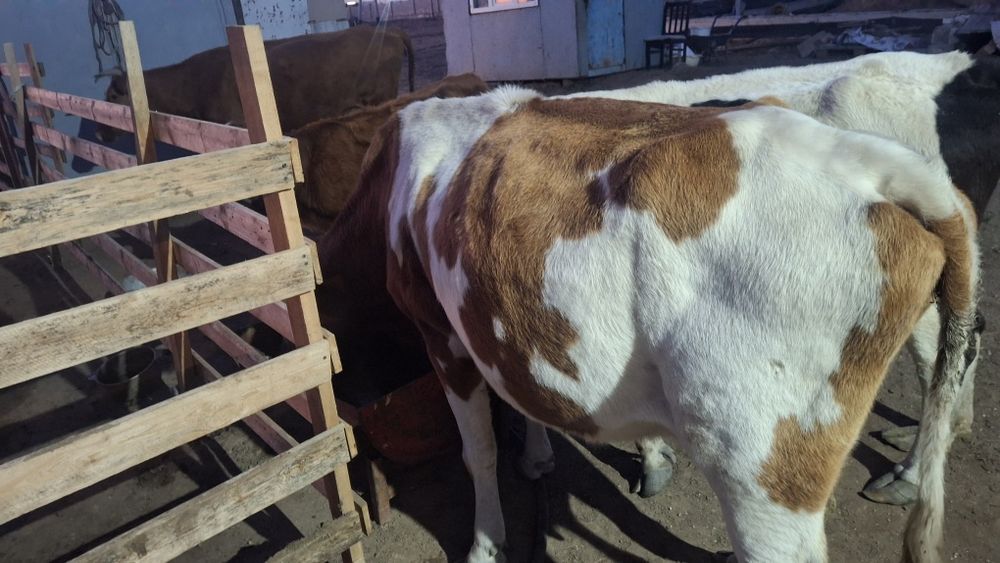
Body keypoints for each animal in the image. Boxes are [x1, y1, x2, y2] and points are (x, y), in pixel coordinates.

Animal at [317, 88, 979, 562]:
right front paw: (550, 457)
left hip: (762, 464)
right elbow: (526, 396)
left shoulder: (443, 335)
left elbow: (476, 452)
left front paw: (485, 544)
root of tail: (869, 162)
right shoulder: (500, 323)